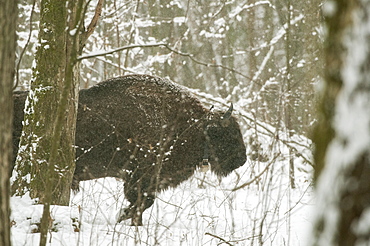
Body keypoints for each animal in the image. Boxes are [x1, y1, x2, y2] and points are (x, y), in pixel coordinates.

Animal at [13, 74, 247, 226]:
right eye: (229, 134)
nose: (242, 160)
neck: (190, 126)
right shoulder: (139, 177)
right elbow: (143, 201)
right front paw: (124, 216)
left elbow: (144, 202)